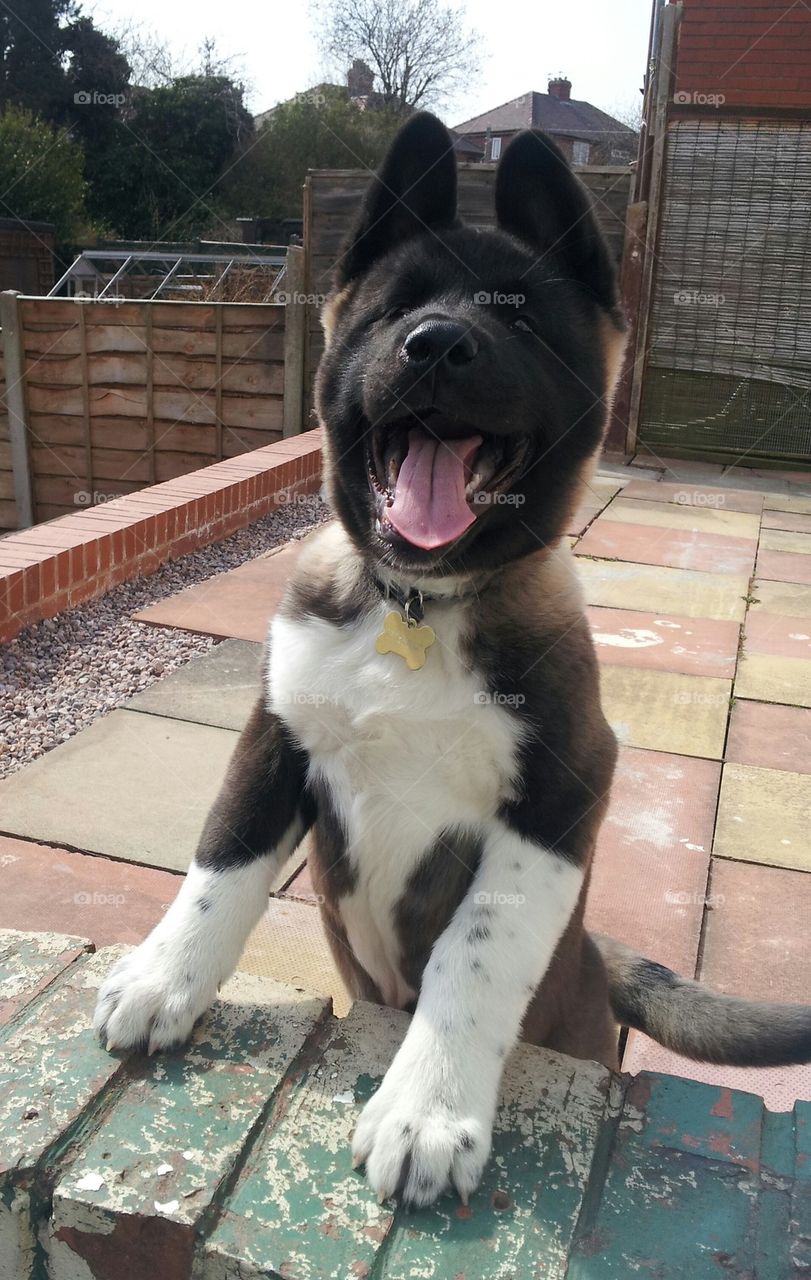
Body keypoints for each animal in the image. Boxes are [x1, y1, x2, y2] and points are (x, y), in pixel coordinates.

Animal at [94, 112, 808, 1208]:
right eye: (396, 308)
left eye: (521, 318)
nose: (433, 345)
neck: (419, 604)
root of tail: (600, 959)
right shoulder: (274, 738)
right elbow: (223, 863)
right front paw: (164, 977)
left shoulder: (556, 799)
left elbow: (472, 962)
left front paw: (427, 1109)